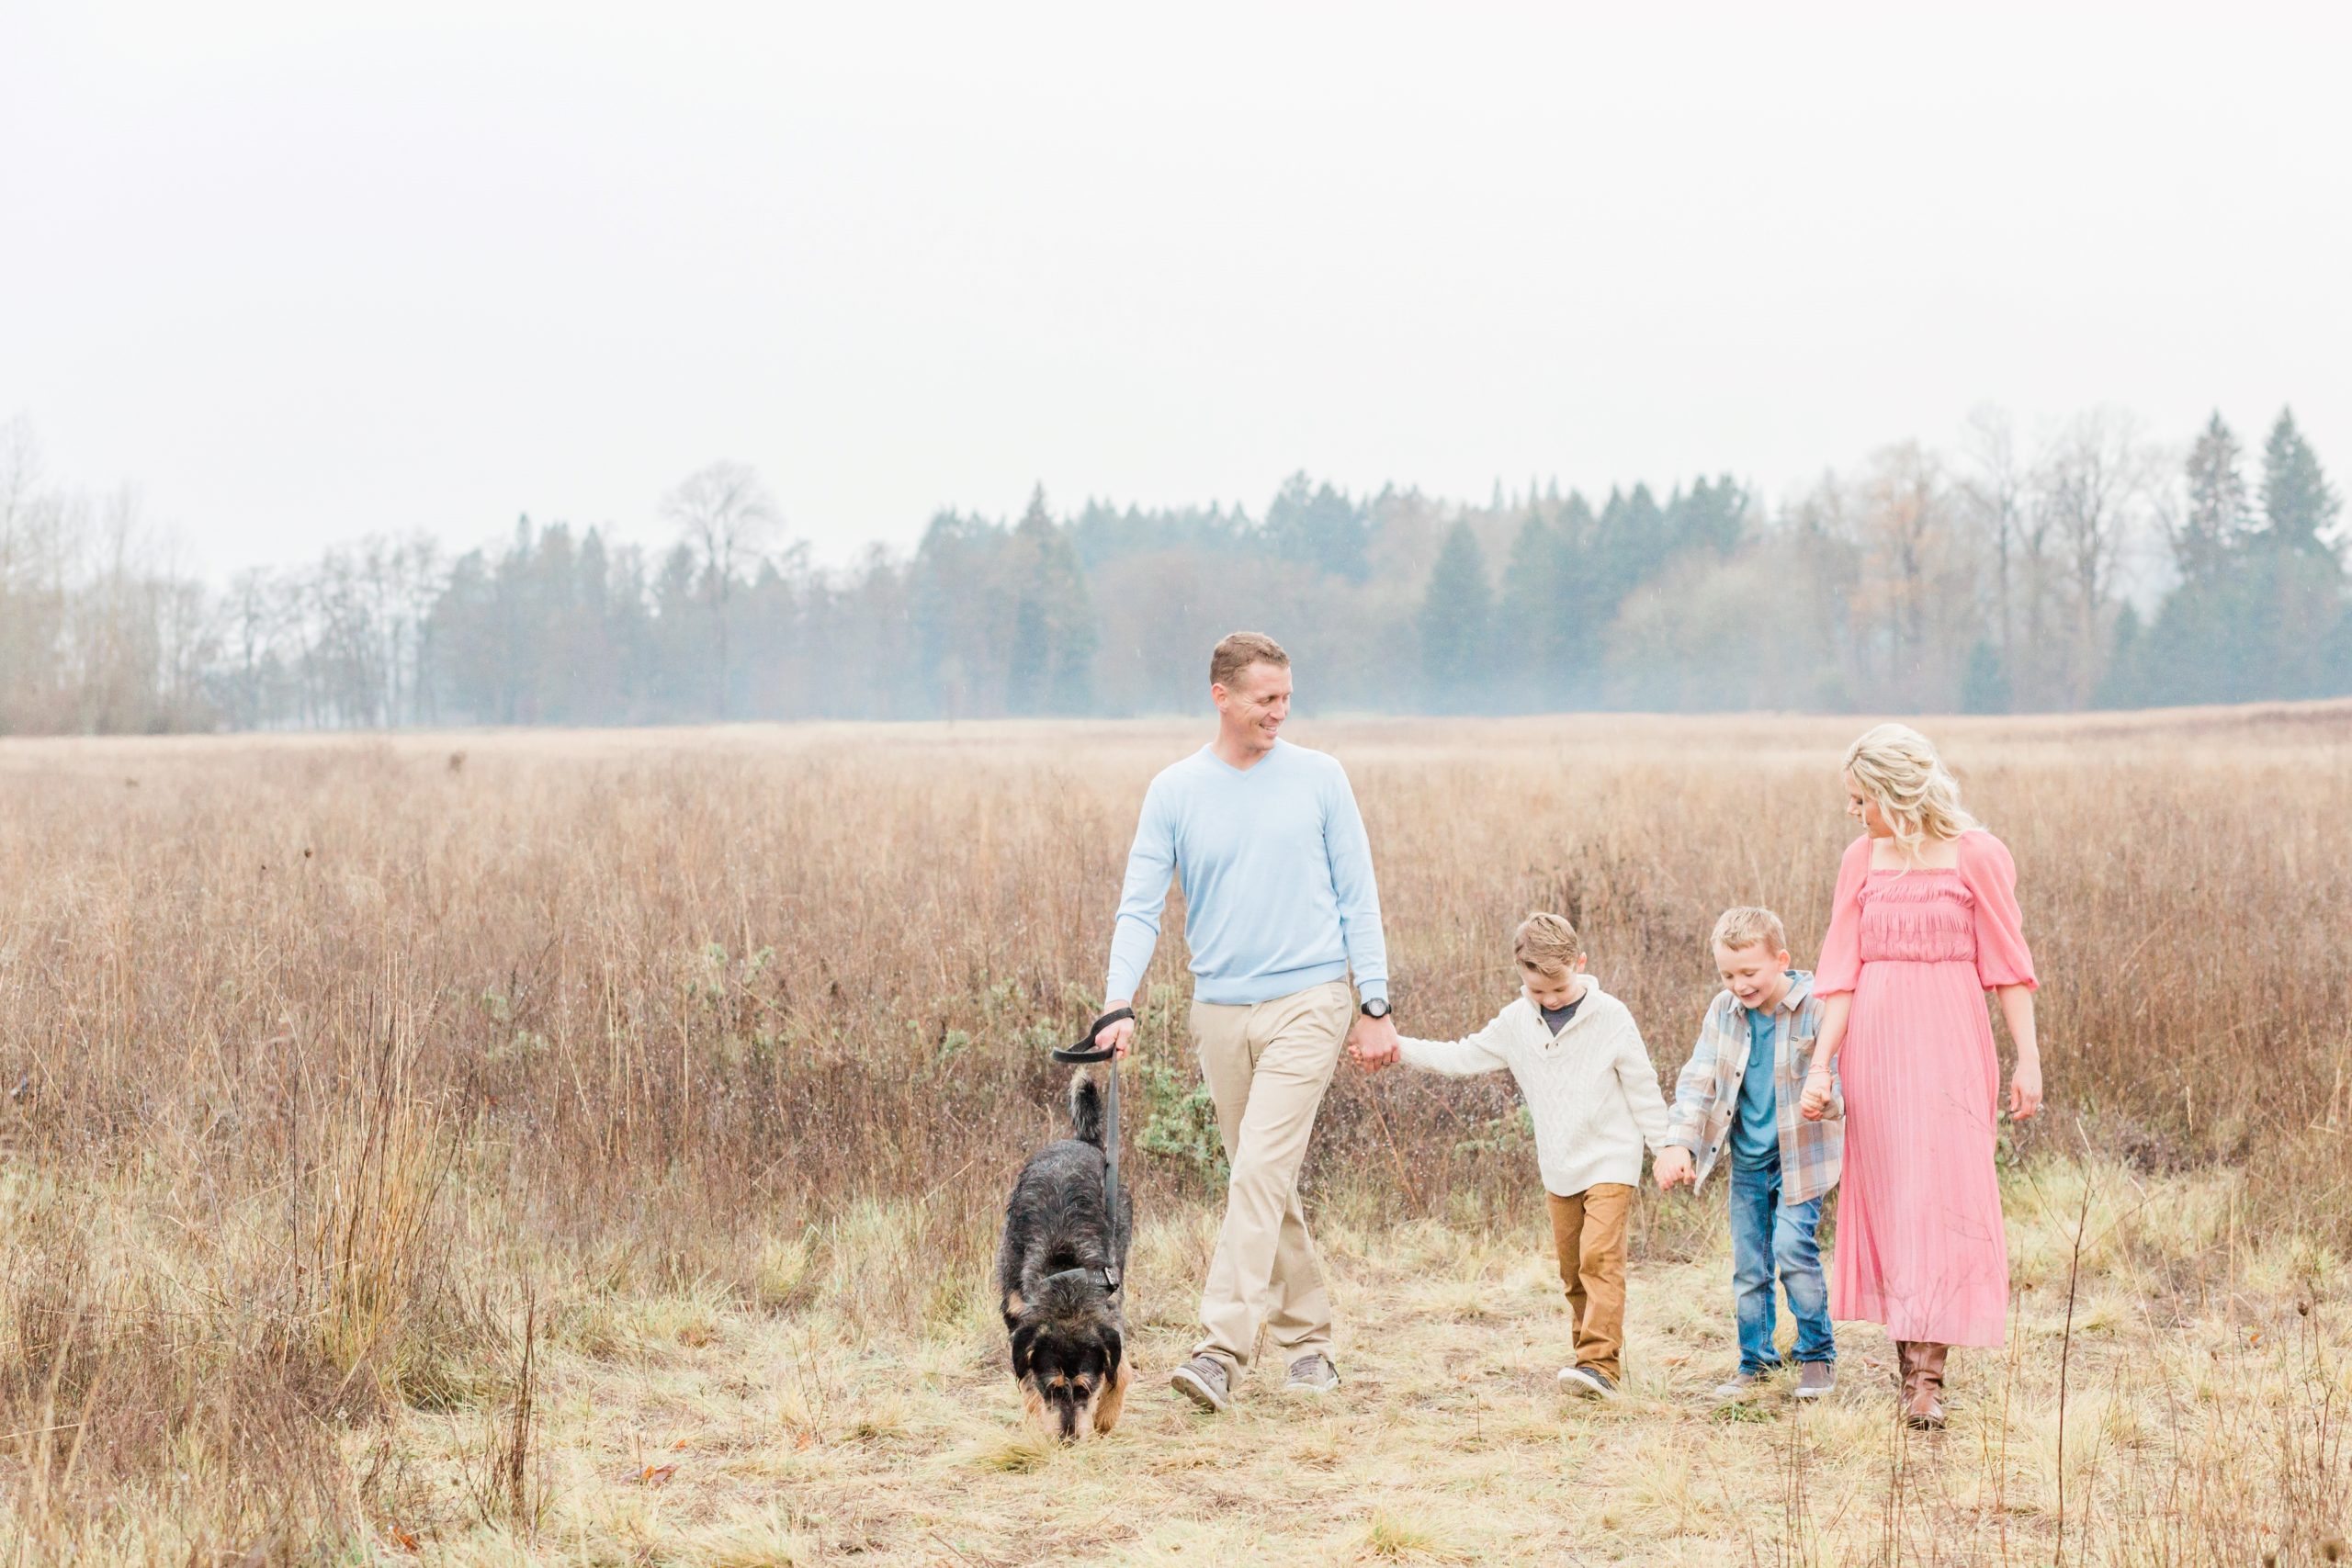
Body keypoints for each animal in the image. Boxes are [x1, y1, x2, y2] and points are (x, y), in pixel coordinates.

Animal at [997, 1072, 1133, 1438]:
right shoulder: (1018, 1316)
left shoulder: (1111, 1313)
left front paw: (1107, 1415)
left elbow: (1121, 1370)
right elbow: (1026, 1380)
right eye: (1053, 1389)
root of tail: (1083, 1141)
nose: (1068, 1438)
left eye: (1087, 1388)